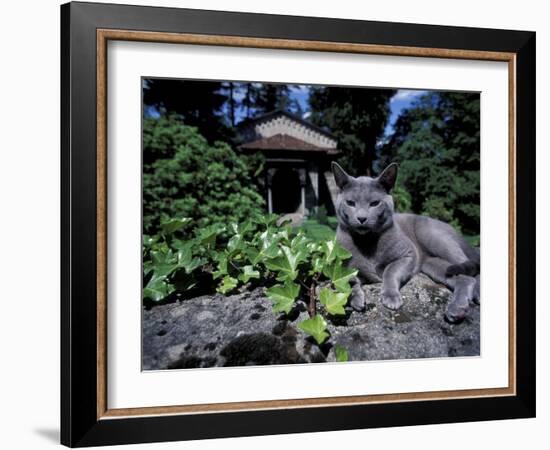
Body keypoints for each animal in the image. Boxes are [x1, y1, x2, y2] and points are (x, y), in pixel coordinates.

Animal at [332, 162, 484, 324]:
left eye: (374, 203)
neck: (366, 242)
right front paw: (356, 299)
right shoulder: (344, 269)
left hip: (434, 238)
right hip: (432, 264)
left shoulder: (408, 255)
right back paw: (457, 310)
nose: (361, 218)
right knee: (465, 278)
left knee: (471, 267)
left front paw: (391, 297)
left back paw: (474, 296)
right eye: (350, 203)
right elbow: (346, 282)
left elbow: (390, 271)